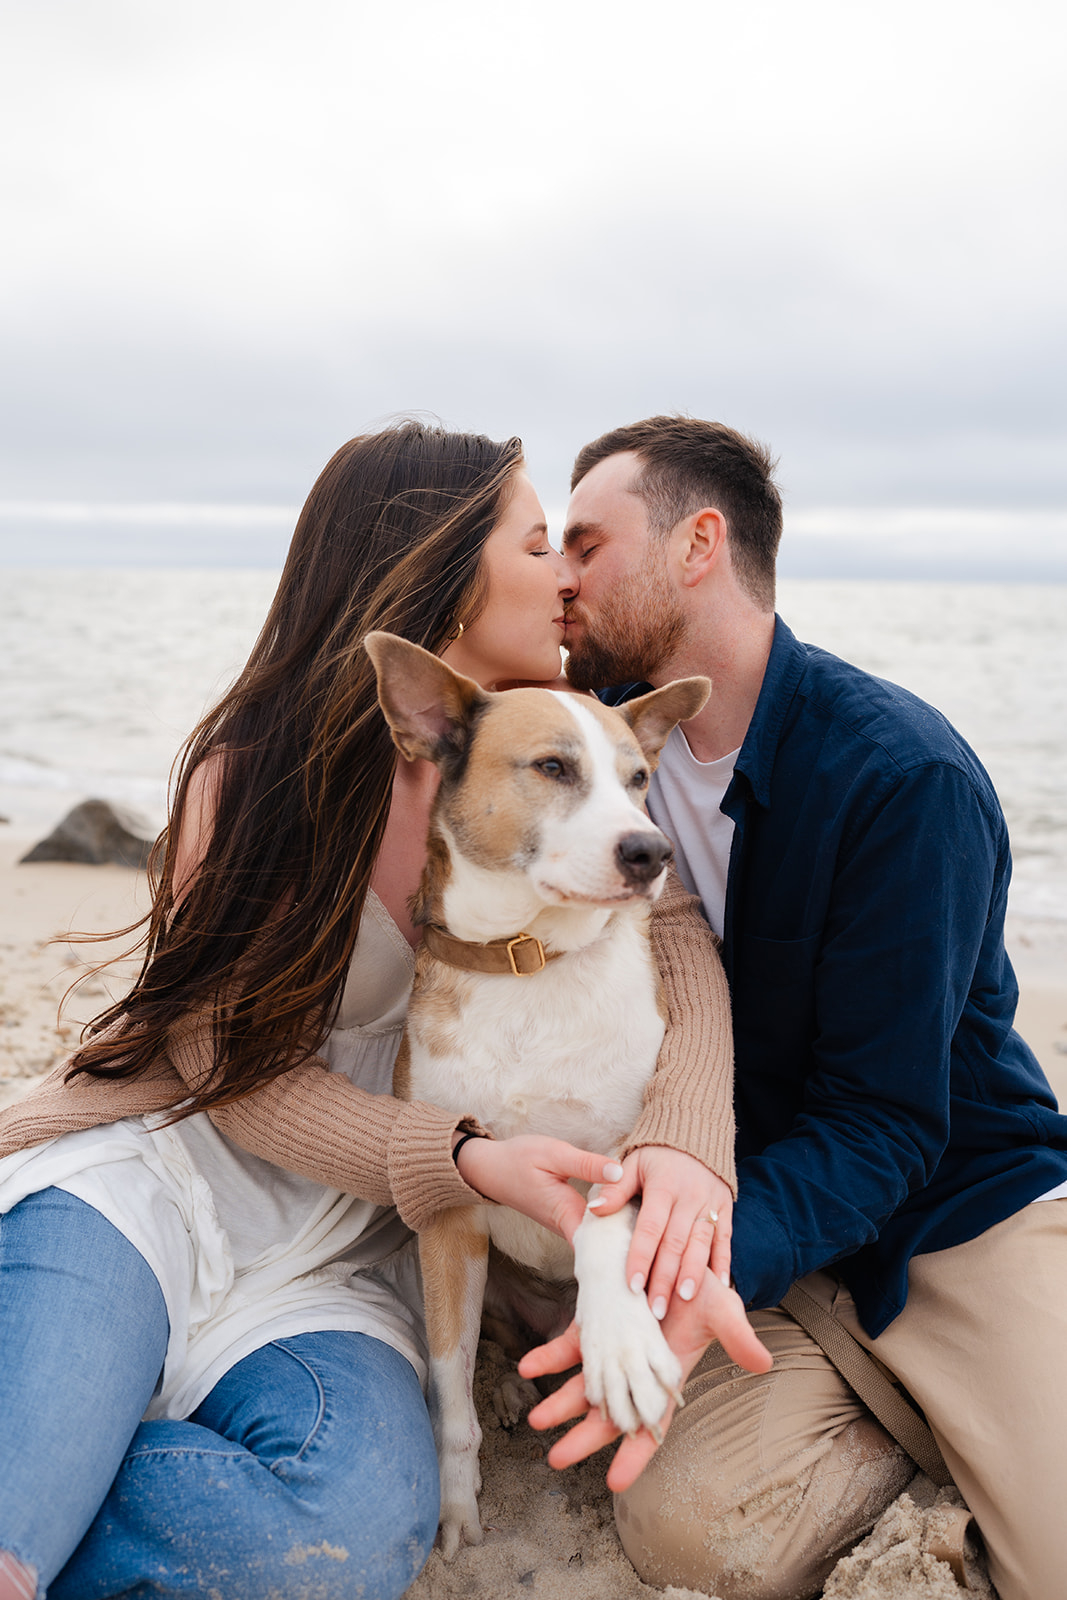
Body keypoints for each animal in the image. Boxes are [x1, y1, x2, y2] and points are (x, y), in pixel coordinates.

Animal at [364, 630, 710, 1555]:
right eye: (553, 767)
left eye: (637, 778)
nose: (651, 853)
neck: (529, 962)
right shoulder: (449, 1212)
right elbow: (449, 1401)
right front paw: (456, 1510)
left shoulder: (622, 1161)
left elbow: (604, 1226)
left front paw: (621, 1344)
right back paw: (512, 1385)